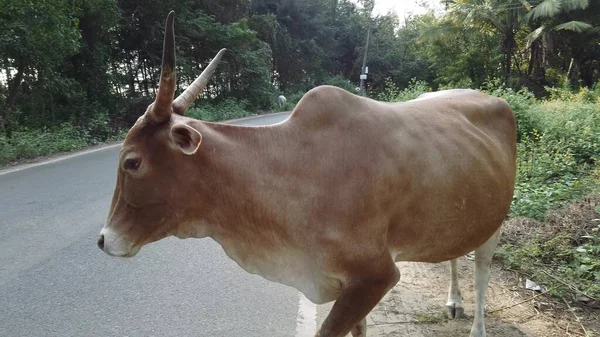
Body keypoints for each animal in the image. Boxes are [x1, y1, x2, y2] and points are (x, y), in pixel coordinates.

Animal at [97, 11, 516, 336]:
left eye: (132, 162)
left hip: (495, 219)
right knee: (455, 254)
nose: (103, 240)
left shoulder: (376, 276)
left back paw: (476, 324)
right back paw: (453, 301)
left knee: (482, 271)